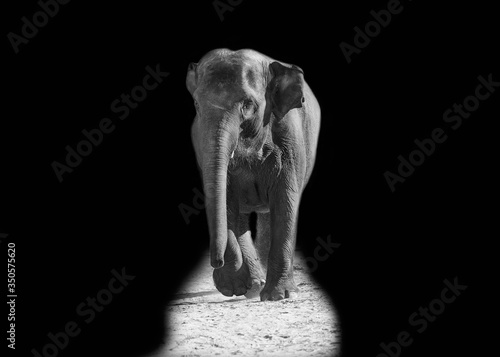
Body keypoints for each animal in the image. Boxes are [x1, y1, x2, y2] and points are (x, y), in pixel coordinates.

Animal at [187, 48, 320, 300]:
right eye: (197, 104)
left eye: (248, 104)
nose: (216, 262)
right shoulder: (199, 140)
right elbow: (226, 201)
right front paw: (234, 288)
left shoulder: (290, 138)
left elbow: (285, 201)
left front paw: (278, 296)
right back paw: (251, 285)